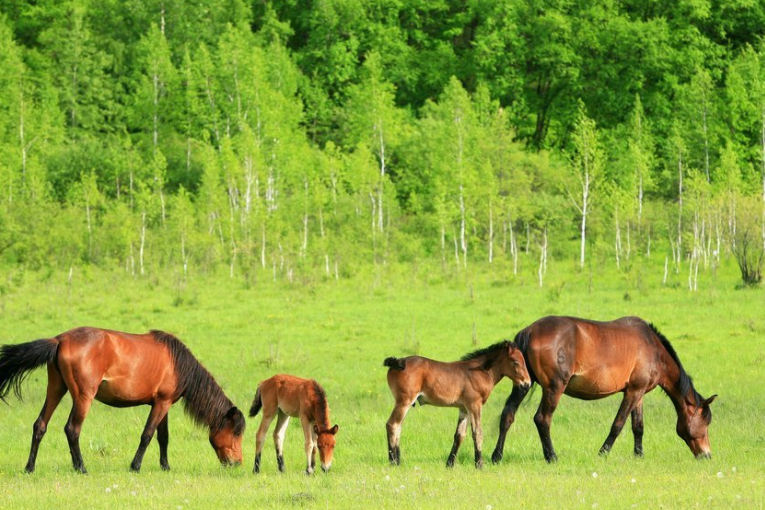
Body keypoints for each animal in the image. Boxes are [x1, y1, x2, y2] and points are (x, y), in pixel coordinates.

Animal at [0, 326, 245, 474]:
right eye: (236, 433)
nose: (238, 463)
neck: (178, 364)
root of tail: (60, 340)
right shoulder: (161, 404)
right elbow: (147, 435)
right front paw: (135, 466)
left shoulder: (162, 404)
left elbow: (163, 438)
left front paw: (165, 466)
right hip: (83, 396)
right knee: (72, 429)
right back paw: (81, 468)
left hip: (56, 389)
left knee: (40, 425)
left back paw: (30, 468)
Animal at [382, 340, 532, 468]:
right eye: (515, 362)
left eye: (524, 361)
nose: (527, 384)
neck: (480, 371)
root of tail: (398, 363)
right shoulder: (474, 405)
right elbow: (477, 433)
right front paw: (479, 464)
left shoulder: (464, 408)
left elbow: (459, 435)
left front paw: (450, 464)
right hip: (404, 401)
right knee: (392, 424)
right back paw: (394, 462)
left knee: (398, 426)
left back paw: (398, 460)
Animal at [490, 314, 716, 462]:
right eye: (706, 422)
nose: (707, 455)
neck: (652, 348)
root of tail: (528, 332)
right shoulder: (633, 392)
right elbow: (618, 424)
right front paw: (603, 453)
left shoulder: (639, 393)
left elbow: (638, 426)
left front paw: (639, 455)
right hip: (554, 388)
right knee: (542, 419)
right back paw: (552, 456)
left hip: (522, 384)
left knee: (508, 414)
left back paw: (496, 456)